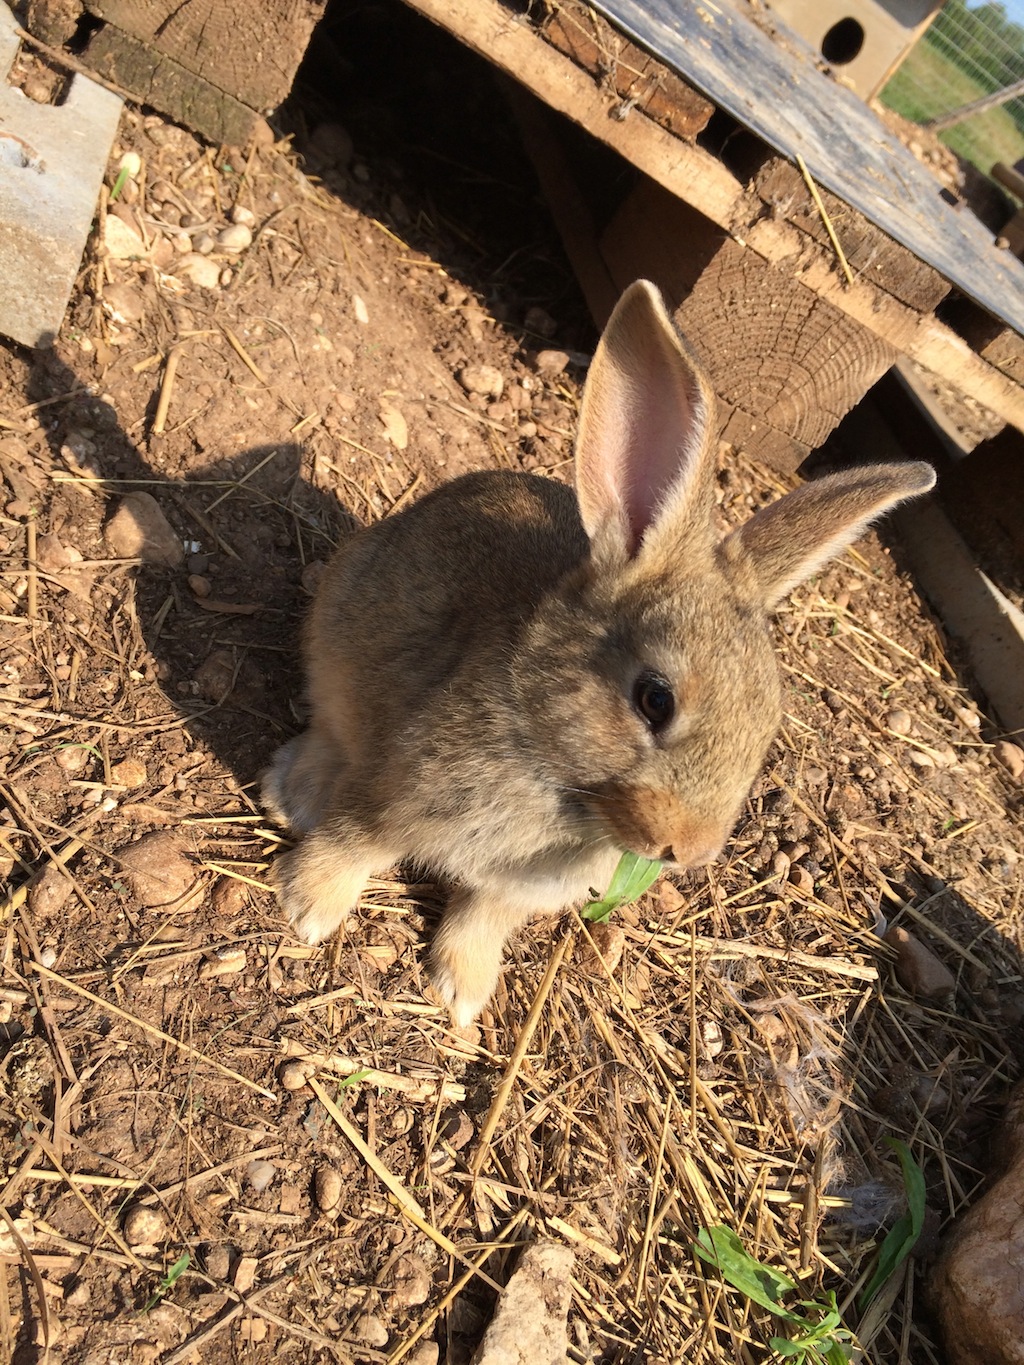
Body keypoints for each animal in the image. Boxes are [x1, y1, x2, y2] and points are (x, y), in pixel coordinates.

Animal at [264, 277, 939, 1026]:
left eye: (767, 728)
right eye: (654, 699)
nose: (689, 849)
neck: (562, 780)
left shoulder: (515, 890)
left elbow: (483, 919)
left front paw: (463, 995)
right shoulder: (389, 797)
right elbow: (354, 843)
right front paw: (307, 908)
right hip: (335, 630)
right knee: (327, 725)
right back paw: (291, 793)